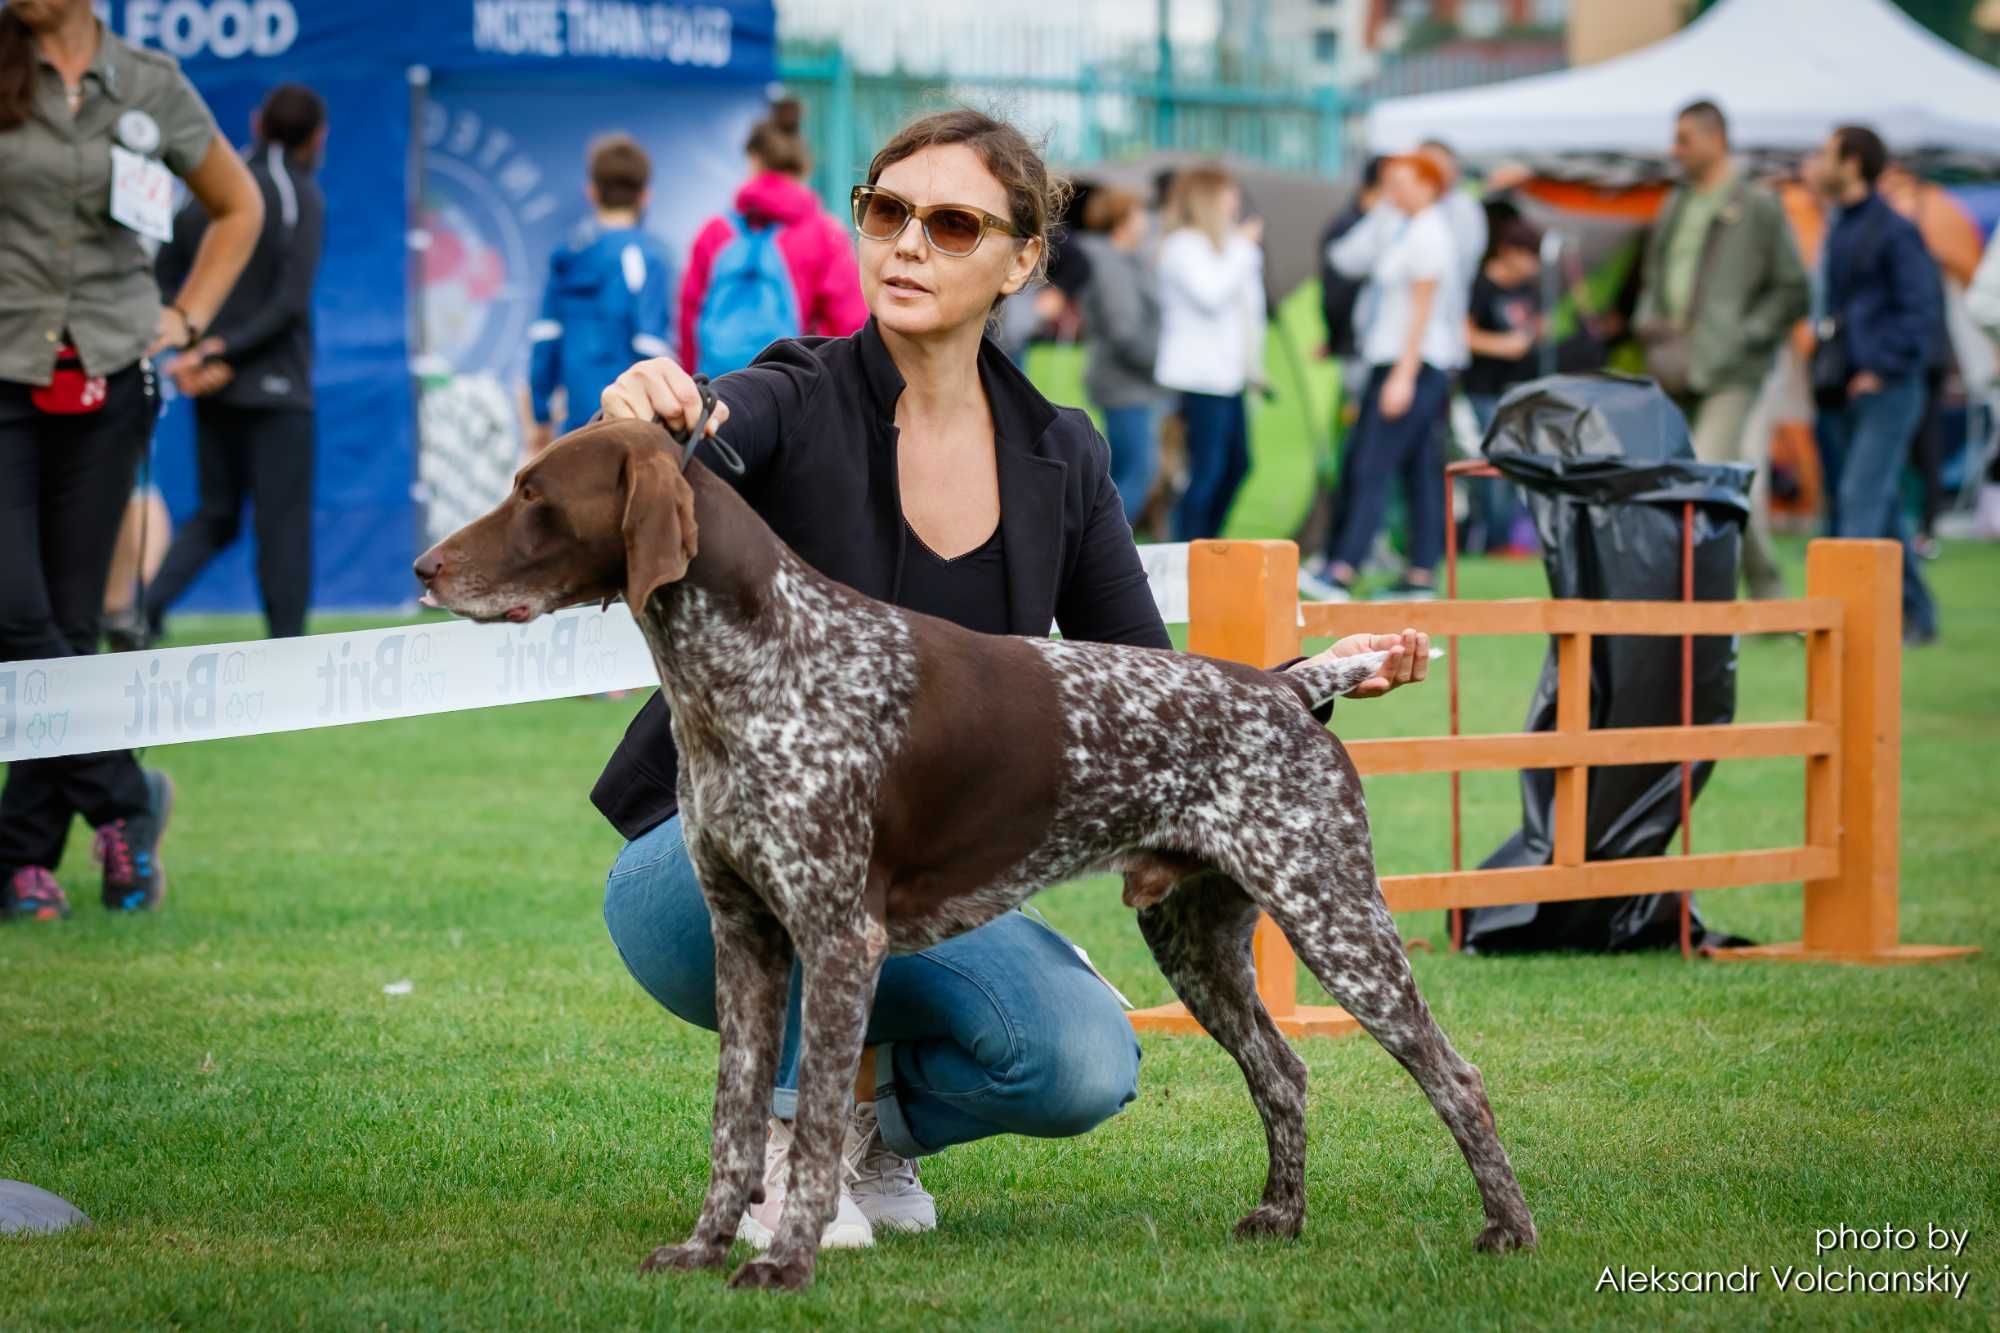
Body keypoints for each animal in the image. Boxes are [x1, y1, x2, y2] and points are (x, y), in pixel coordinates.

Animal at [414, 418, 1536, 1288]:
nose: (424, 569)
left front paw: (786, 1260)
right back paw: (1281, 1214)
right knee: (1284, 1070)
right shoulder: (746, 938)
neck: (751, 664)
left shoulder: (837, 938)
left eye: (533, 493)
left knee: (1455, 1074)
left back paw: (1507, 1227)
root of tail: (1286, 687)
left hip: (1335, 918)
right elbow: (734, 1124)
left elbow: (811, 1131)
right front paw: (702, 1247)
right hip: (1196, 940)